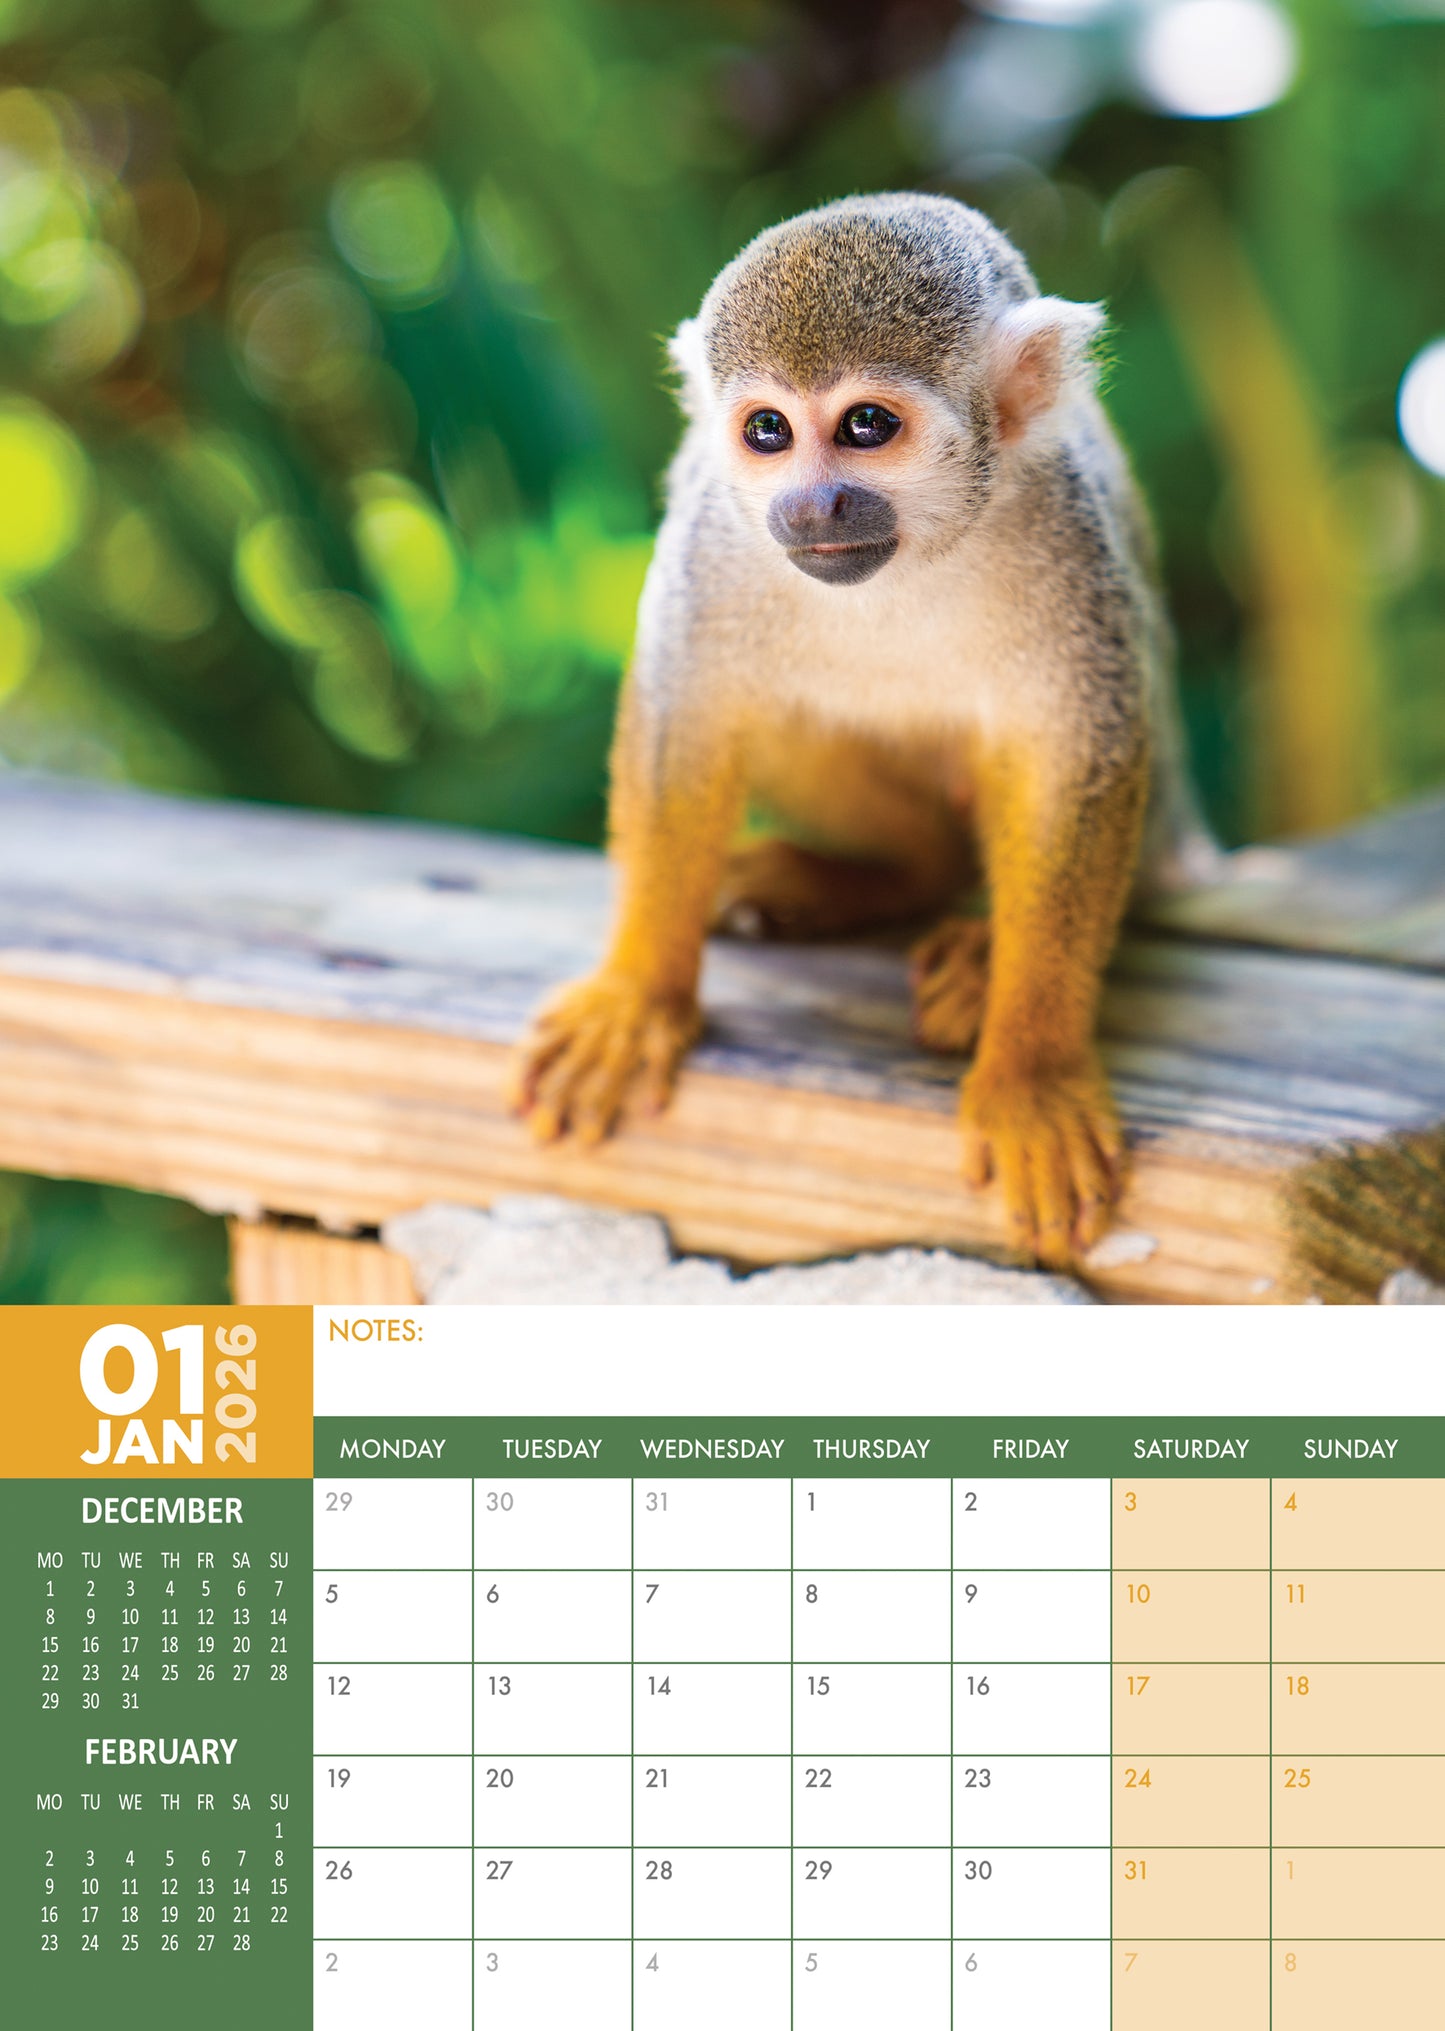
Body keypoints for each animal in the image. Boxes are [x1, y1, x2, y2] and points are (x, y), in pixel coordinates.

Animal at [509, 192, 1218, 1269]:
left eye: (866, 425)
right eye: (767, 430)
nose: (811, 505)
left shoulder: (1064, 535)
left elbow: (1072, 757)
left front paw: (1032, 1069)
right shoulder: (717, 537)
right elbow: (691, 710)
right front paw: (636, 996)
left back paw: (976, 945)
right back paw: (883, 877)